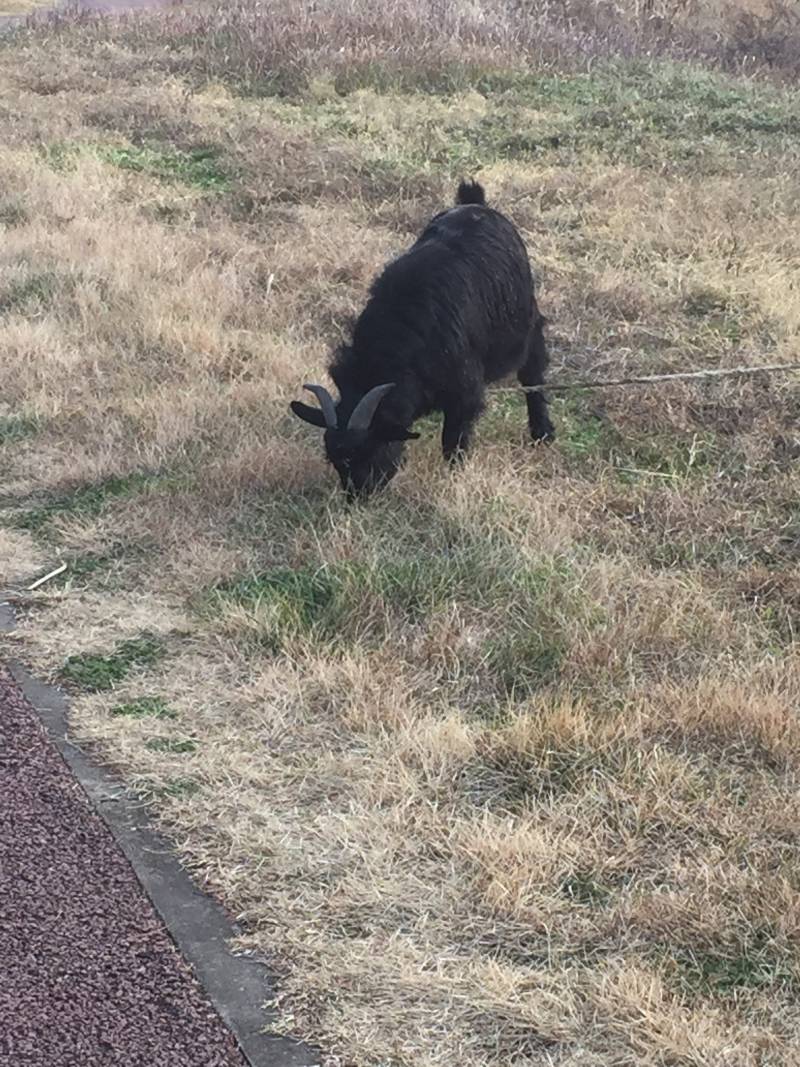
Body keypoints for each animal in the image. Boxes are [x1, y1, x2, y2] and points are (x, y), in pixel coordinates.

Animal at [292, 181, 554, 497]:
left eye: (373, 449)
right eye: (334, 459)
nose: (359, 497)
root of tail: (475, 203)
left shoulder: (464, 393)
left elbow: (453, 441)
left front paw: (454, 478)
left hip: (526, 324)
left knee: (533, 374)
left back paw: (542, 432)